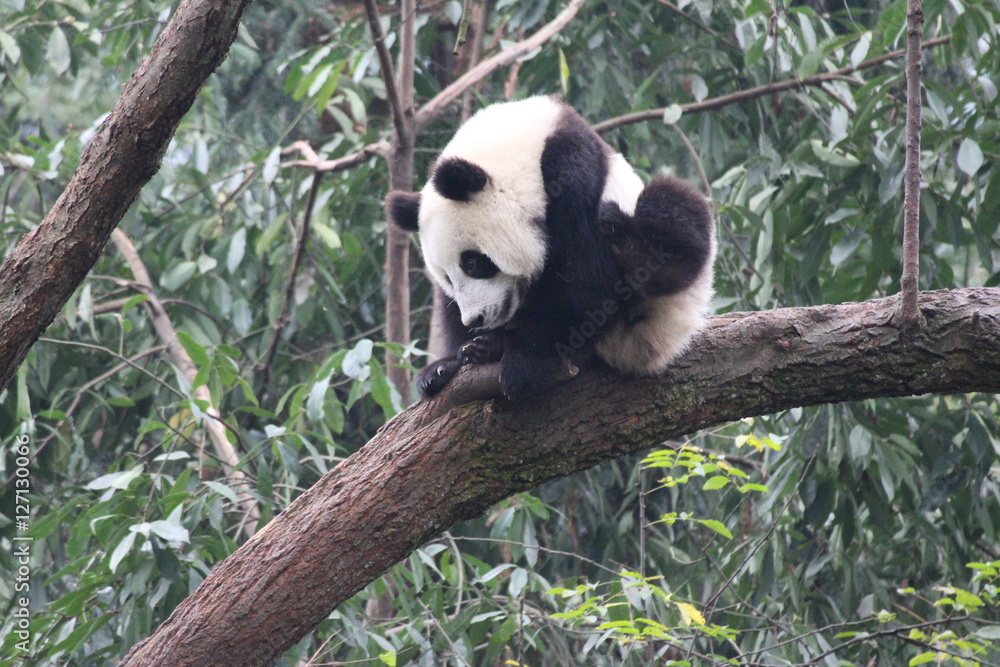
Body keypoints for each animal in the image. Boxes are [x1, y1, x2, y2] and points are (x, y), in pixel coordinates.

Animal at [386, 96, 716, 401]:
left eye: (472, 263)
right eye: (447, 277)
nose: (476, 320)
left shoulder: (572, 175)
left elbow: (586, 279)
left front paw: (525, 363)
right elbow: (449, 309)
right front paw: (448, 364)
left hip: (668, 305)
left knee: (671, 212)